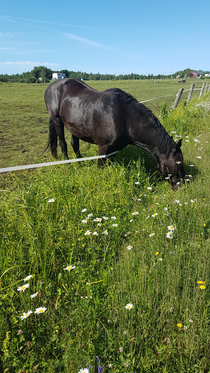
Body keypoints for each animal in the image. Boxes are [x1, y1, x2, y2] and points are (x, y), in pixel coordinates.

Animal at [44, 77, 185, 185]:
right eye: (178, 163)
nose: (183, 185)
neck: (125, 118)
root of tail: (51, 86)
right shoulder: (103, 147)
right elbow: (100, 167)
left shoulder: (114, 149)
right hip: (57, 121)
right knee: (63, 144)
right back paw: (69, 166)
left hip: (75, 126)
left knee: (75, 144)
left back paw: (81, 164)